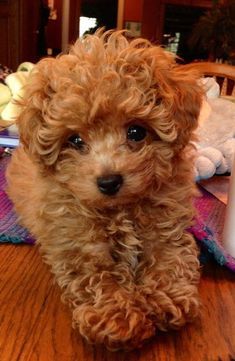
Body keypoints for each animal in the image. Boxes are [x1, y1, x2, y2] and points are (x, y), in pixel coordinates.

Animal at [7, 30, 202, 348]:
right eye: (75, 140)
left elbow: (169, 257)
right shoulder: (76, 240)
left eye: (136, 132)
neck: (121, 209)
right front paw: (117, 316)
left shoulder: (166, 224)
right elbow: (96, 276)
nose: (109, 181)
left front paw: (165, 297)